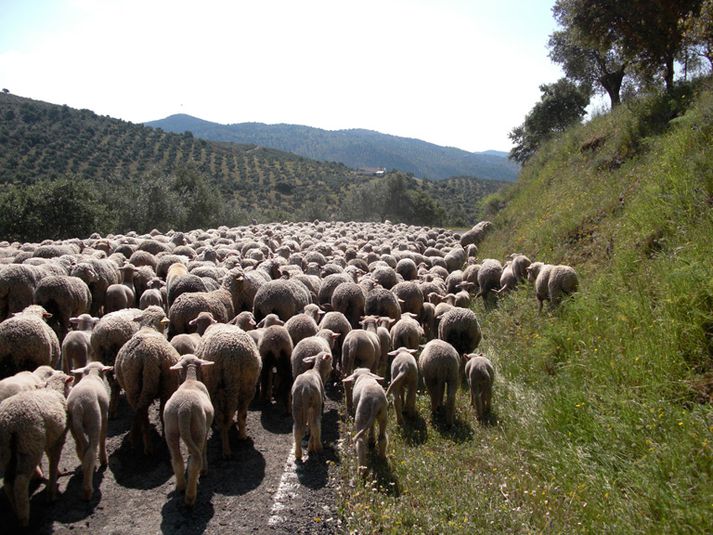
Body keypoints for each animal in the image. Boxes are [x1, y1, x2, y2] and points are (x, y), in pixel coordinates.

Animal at [0, 372, 73, 528]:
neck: (53, 390)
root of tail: (8, 422)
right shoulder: (58, 438)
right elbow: (53, 461)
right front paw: (52, 492)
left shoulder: (49, 438)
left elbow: (51, 459)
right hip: (29, 447)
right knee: (20, 482)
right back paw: (24, 518)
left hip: (6, 452)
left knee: (8, 483)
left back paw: (16, 509)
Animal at [66, 360, 112, 502]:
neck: (91, 375)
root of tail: (78, 406)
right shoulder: (104, 416)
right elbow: (103, 438)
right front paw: (103, 460)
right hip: (94, 420)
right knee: (91, 451)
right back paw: (87, 491)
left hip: (73, 426)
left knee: (80, 449)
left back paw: (84, 470)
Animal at [163, 356, 214, 506]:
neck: (190, 380)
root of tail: (184, 408)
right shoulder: (205, 428)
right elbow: (203, 448)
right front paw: (204, 470)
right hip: (198, 428)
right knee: (195, 461)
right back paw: (190, 496)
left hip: (170, 428)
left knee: (177, 459)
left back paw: (181, 487)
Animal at [195, 324, 262, 458]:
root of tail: (231, 357)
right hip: (247, 387)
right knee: (242, 414)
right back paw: (242, 436)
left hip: (214, 387)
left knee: (222, 417)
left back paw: (226, 450)